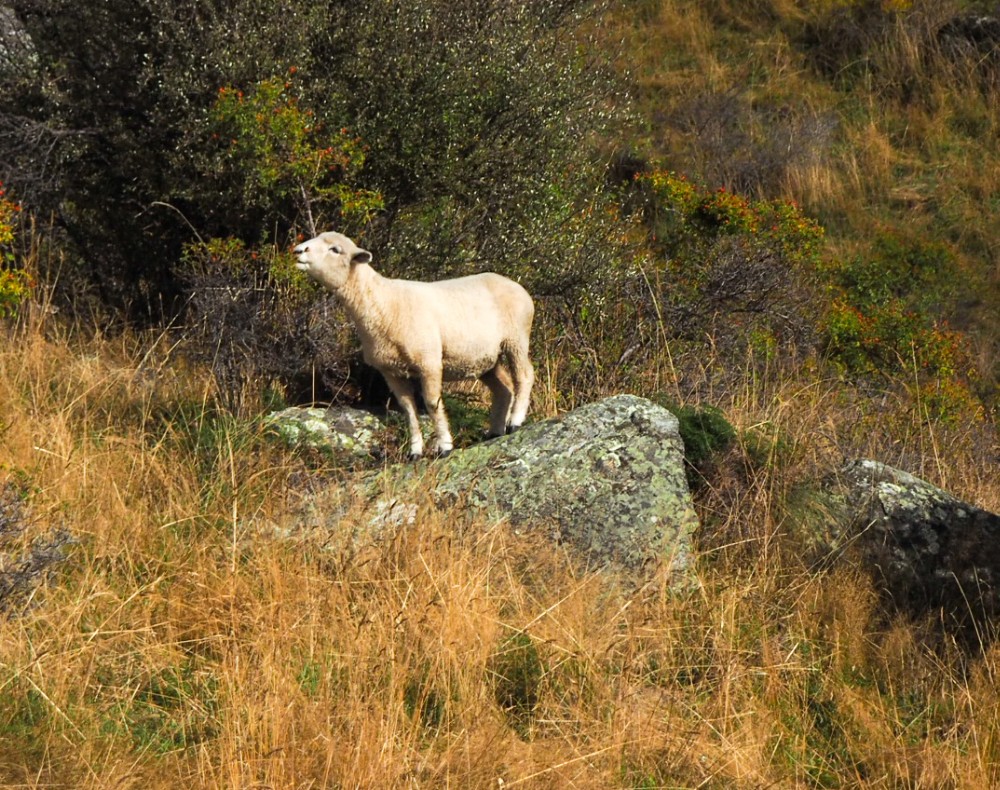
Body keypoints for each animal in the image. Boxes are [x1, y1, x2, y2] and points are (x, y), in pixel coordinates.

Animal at [294, 231, 535, 458]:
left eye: (335, 249)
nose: (298, 251)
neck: (384, 303)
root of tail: (516, 285)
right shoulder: (391, 371)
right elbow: (409, 410)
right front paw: (415, 452)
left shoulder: (428, 361)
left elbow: (432, 403)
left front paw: (444, 446)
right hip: (485, 358)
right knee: (504, 388)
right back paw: (495, 431)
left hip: (516, 338)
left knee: (525, 375)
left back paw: (515, 422)